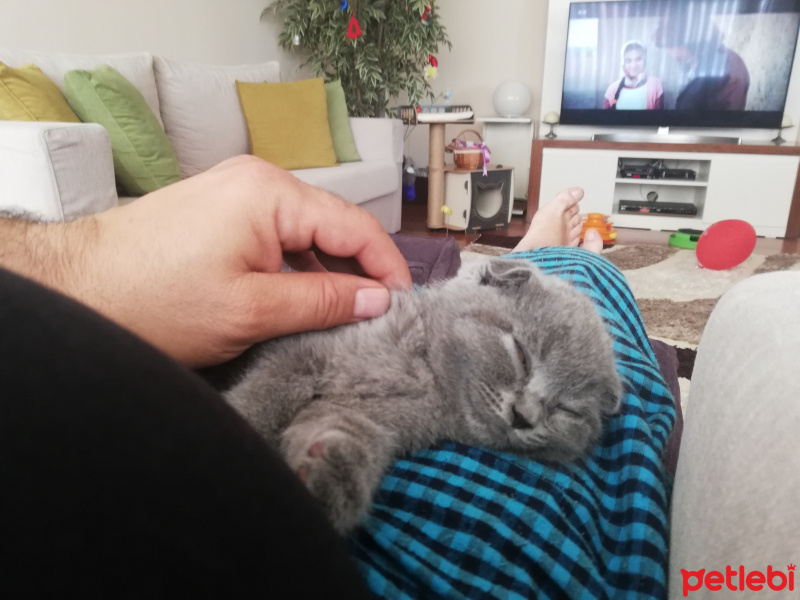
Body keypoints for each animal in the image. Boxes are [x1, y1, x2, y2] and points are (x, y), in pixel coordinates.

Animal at [225, 255, 624, 532]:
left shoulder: (365, 415)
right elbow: (263, 397)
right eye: (522, 356)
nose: (524, 417)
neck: (427, 379)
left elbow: (347, 434)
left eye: (567, 410)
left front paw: (331, 481)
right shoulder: (298, 355)